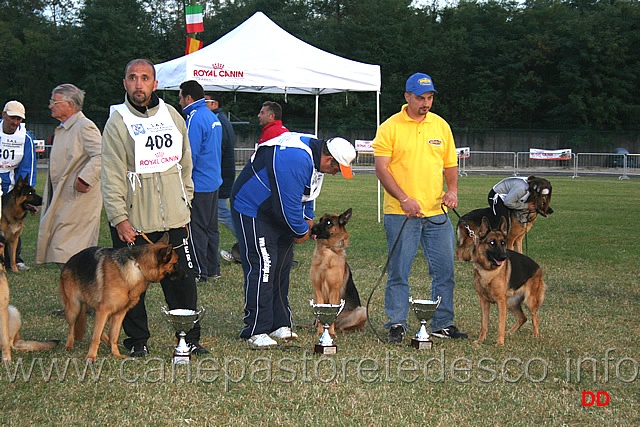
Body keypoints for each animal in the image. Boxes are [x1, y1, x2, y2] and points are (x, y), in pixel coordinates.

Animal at [60, 234, 181, 362]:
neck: (137, 267)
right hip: (74, 307)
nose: (186, 275)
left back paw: (107, 343)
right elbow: (95, 337)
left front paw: (116, 354)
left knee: (99, 330)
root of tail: (69, 261)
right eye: (175, 263)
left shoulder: (119, 314)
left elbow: (113, 335)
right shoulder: (103, 311)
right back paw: (68, 345)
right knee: (72, 328)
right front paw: (91, 357)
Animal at [308, 208, 364, 338]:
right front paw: (320, 332)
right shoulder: (318, 290)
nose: (312, 229)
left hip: (362, 311)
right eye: (320, 220)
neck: (327, 250)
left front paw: (331, 334)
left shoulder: (334, 290)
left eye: (328, 223)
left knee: (344, 326)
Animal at [470, 216, 544, 346]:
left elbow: (501, 324)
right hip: (510, 303)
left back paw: (536, 335)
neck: (488, 271)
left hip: (528, 301)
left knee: (534, 317)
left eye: (503, 243)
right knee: (523, 318)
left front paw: (499, 343)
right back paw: (510, 332)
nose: (504, 257)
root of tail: (538, 267)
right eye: (492, 243)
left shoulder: (501, 302)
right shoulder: (484, 302)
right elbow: (484, 324)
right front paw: (480, 340)